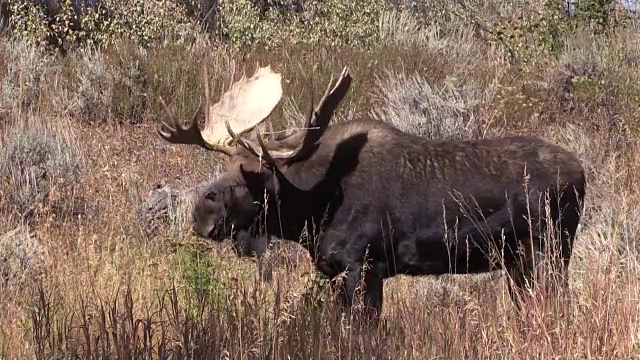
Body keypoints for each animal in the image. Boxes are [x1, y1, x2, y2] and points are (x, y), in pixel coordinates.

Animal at [155, 64, 584, 320]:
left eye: (254, 176)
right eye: (225, 167)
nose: (201, 212)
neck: (313, 211)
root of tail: (582, 173)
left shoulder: (362, 267)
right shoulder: (335, 274)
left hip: (550, 251)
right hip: (518, 263)